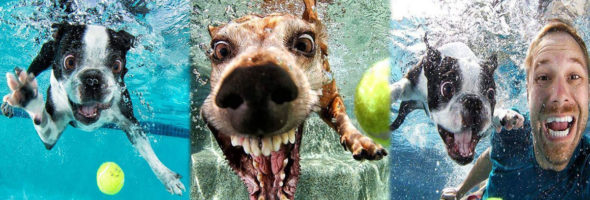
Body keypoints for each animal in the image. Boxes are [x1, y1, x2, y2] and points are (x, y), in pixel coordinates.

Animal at [1, 22, 185, 195]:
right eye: (69, 62)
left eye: (117, 65)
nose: (92, 79)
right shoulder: (50, 136)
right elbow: (42, 119)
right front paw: (28, 97)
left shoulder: (130, 122)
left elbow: (147, 150)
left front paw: (167, 176)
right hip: (45, 54)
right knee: (32, 70)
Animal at [201, 0, 390, 199]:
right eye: (221, 50)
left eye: (304, 44)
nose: (256, 89)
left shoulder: (330, 94)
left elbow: (341, 117)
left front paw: (361, 141)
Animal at [390, 36, 524, 165]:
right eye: (447, 88)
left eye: (491, 94)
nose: (473, 101)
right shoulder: (413, 78)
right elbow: (399, 88)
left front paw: (505, 115)